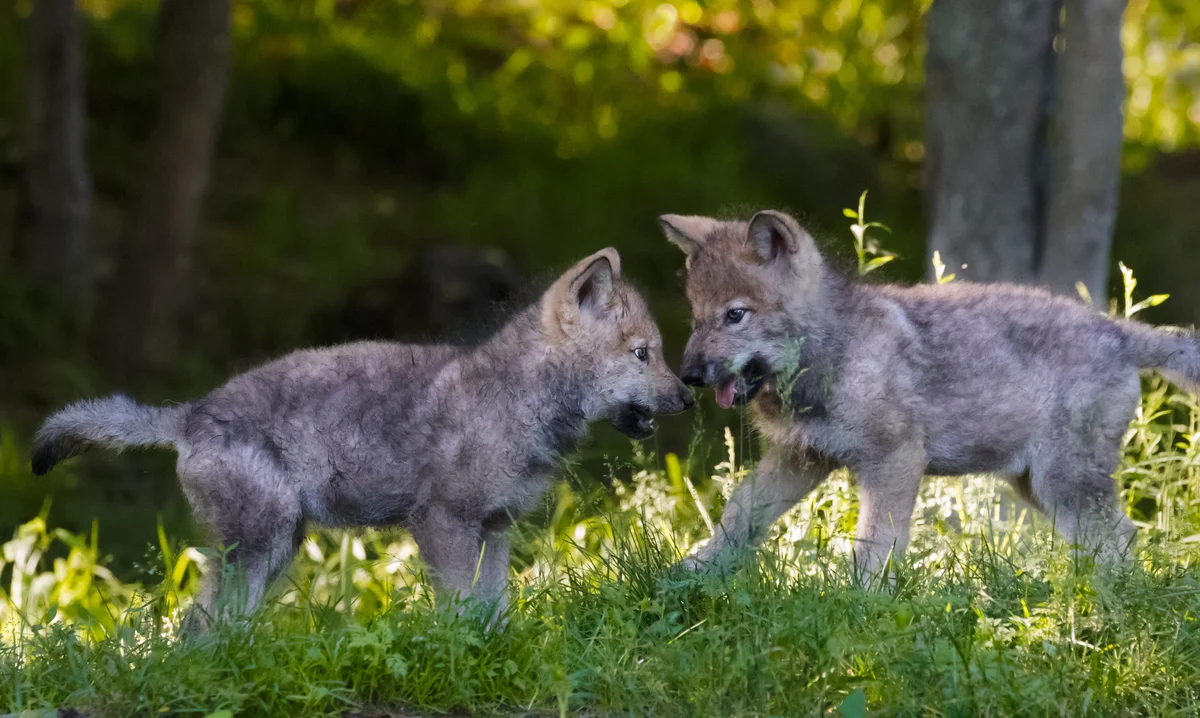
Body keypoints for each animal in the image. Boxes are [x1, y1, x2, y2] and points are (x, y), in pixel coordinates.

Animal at [32, 248, 693, 625]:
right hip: (261, 546)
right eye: (643, 354)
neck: (519, 400)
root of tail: (190, 414)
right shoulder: (444, 523)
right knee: (200, 628)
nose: (689, 394)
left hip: (278, 548)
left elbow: (493, 615)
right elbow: (459, 616)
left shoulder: (494, 528)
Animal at [659, 209, 1200, 573]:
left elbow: (874, 545)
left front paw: (863, 607)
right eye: (697, 318)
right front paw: (692, 572)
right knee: (1117, 536)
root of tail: (1118, 331)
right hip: (1035, 485)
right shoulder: (803, 457)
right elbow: (740, 511)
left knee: (1117, 538)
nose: (689, 377)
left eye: (735, 315)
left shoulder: (895, 460)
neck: (834, 351)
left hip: (1062, 482)